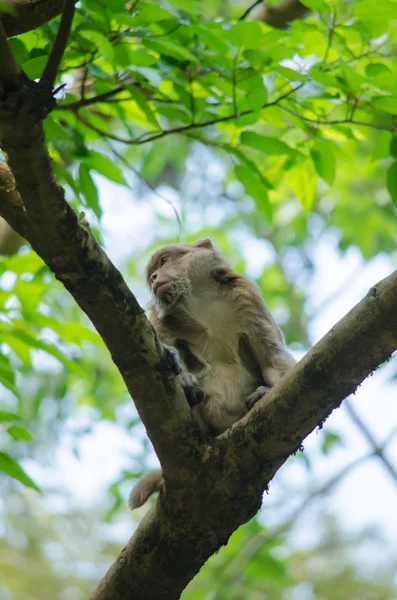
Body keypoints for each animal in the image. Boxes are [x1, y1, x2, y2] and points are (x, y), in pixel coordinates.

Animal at [128, 237, 296, 508]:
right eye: (152, 272)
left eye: (164, 261)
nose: (154, 277)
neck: (200, 304)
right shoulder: (158, 317)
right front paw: (180, 372)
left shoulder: (246, 295)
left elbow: (271, 358)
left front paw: (265, 391)